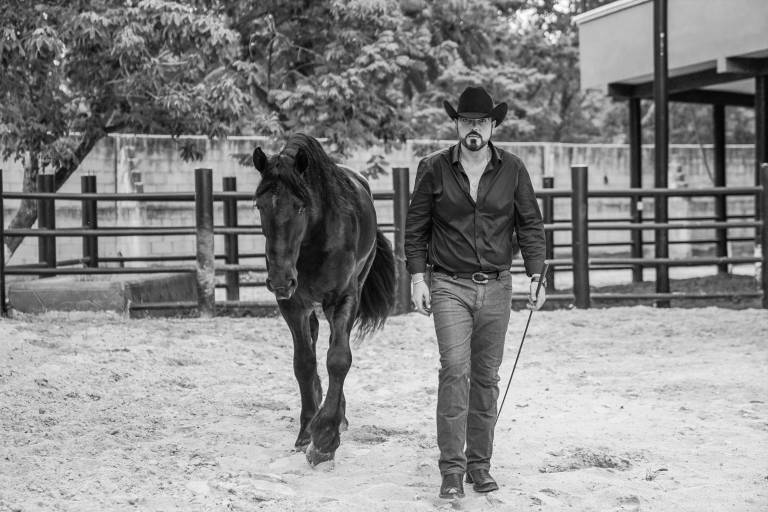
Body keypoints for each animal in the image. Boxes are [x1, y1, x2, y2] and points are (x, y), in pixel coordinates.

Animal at [252, 133, 396, 465]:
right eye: (259, 205)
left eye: (300, 207)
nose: (280, 279)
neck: (315, 240)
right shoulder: (292, 304)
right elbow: (304, 362)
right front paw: (307, 429)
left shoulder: (344, 298)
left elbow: (339, 359)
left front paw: (326, 438)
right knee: (315, 338)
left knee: (332, 344)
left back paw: (337, 417)